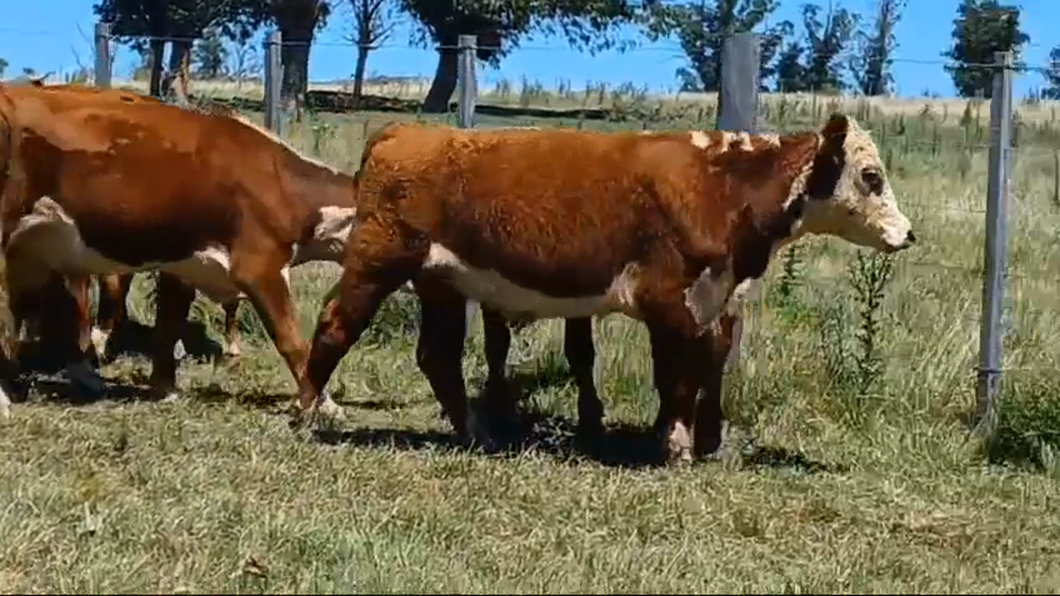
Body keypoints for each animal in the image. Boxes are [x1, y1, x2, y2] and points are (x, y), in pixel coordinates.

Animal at [0, 82, 356, 413]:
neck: (279, 182)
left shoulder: (184, 261)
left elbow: (170, 324)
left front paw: (165, 387)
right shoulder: (259, 267)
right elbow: (292, 339)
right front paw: (325, 404)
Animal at [292, 115, 920, 460]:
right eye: (871, 176)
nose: (908, 233)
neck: (720, 184)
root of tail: (407, 131)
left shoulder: (705, 303)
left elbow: (689, 374)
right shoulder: (669, 300)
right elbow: (680, 376)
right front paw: (676, 447)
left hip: (441, 280)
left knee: (437, 357)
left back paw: (477, 433)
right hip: (378, 261)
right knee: (335, 325)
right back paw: (307, 412)